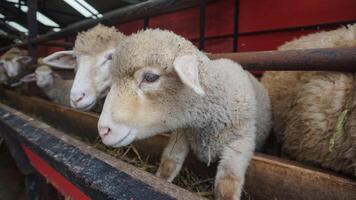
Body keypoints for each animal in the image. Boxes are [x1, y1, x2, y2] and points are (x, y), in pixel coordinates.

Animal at [96, 28, 272, 199]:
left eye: (150, 77)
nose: (103, 131)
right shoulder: (182, 132)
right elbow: (169, 162)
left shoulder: (242, 140)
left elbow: (227, 185)